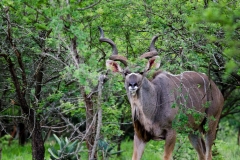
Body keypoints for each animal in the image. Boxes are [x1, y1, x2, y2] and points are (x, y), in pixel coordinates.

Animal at [98, 27, 224, 160]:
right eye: (126, 73)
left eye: (141, 72)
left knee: (209, 153)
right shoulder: (139, 136)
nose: (132, 84)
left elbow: (166, 157)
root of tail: (216, 88)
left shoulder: (171, 132)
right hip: (192, 130)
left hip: (211, 124)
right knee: (202, 154)